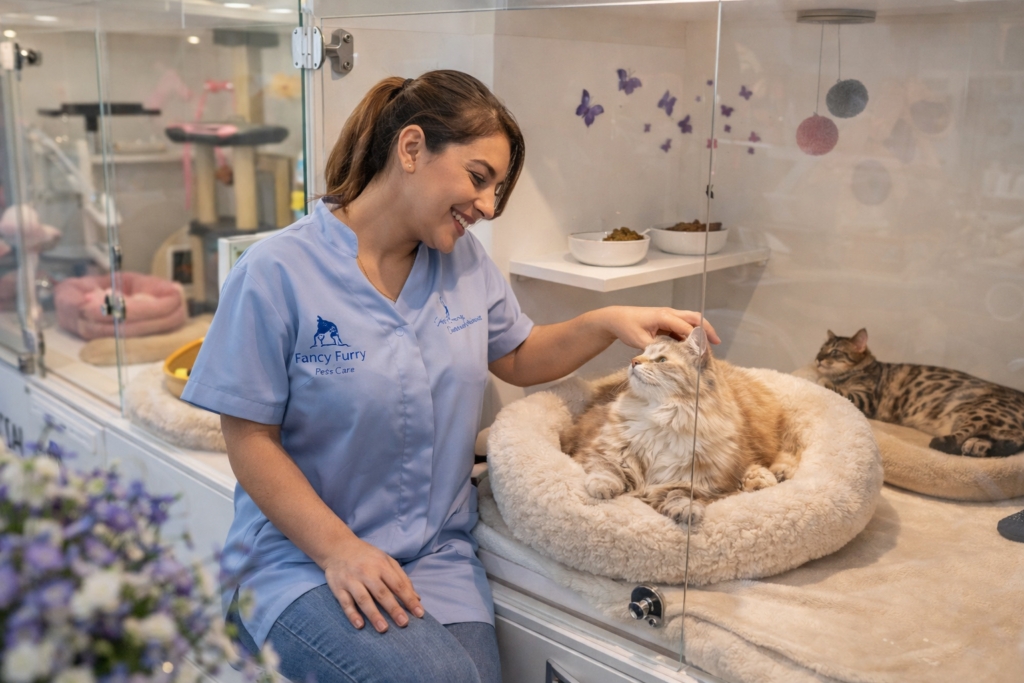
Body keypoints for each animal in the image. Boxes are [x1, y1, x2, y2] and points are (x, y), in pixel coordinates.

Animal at [560, 328, 801, 528]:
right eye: (642, 354)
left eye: (661, 359)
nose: (633, 361)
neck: (664, 419)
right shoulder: (604, 449)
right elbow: (607, 468)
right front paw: (601, 486)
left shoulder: (700, 481)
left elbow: (679, 494)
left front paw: (686, 511)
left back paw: (765, 478)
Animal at [814, 329, 1024, 457]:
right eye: (821, 349)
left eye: (834, 352)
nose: (817, 359)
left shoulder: (866, 399)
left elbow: (840, 389)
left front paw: (823, 380)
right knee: (1009, 438)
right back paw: (979, 445)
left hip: (979, 410)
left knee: (959, 438)